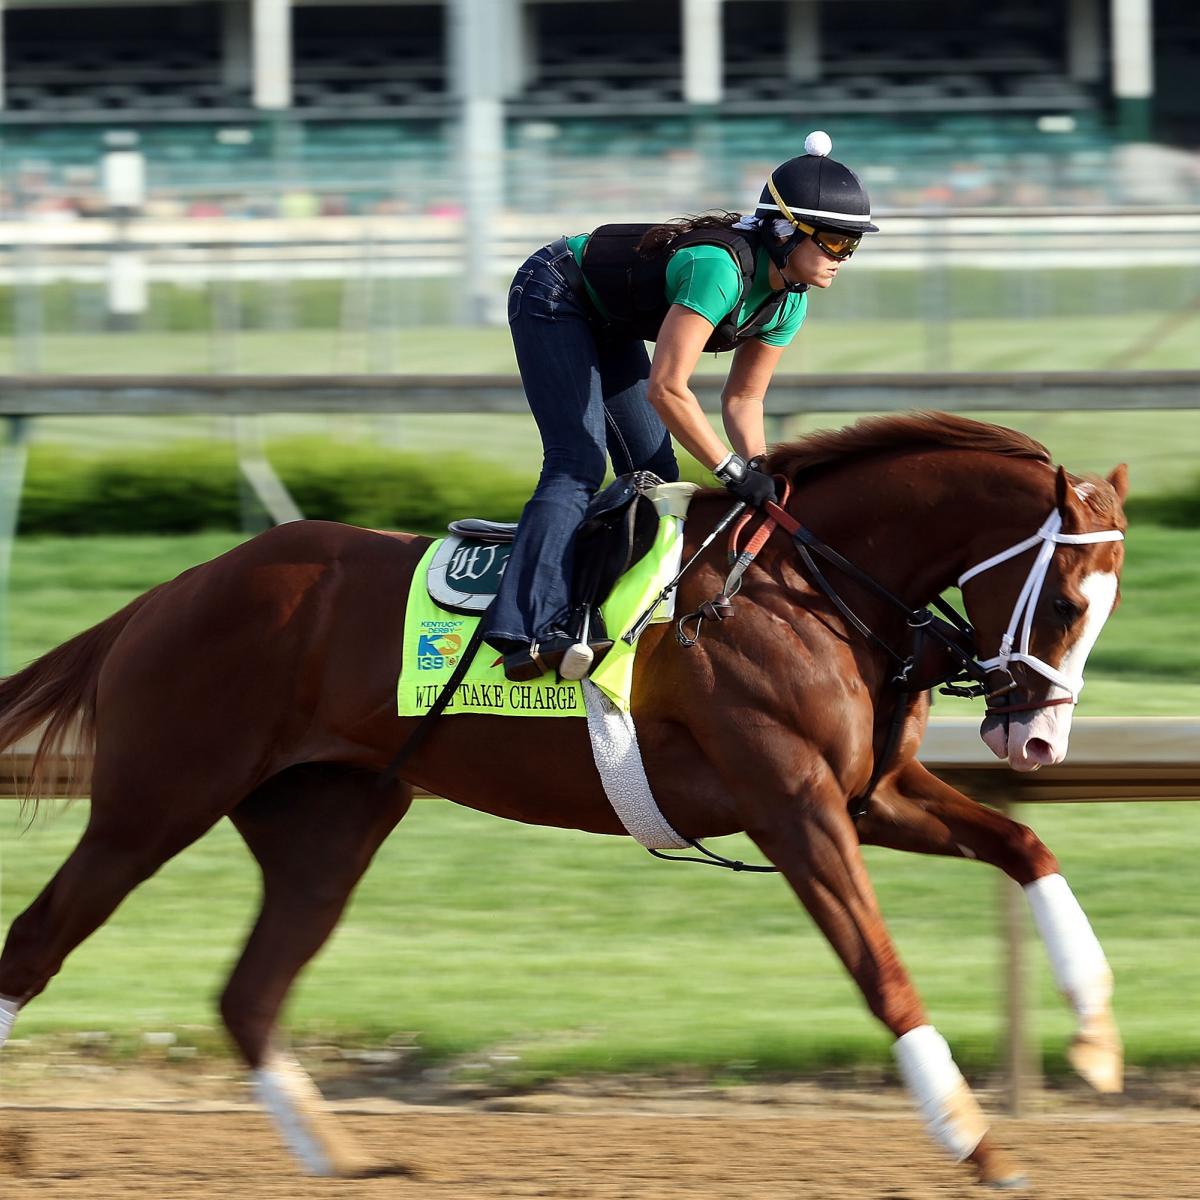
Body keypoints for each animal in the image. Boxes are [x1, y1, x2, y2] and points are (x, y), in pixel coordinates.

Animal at [0, 415, 1123, 1190]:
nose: (1035, 740)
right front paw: (975, 1140)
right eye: (1069, 601)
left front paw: (1096, 1036)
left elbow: (1025, 845)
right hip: (156, 801)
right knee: (37, 942)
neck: (805, 587)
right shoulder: (792, 804)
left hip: (331, 825)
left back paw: (340, 1161)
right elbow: (881, 970)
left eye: (1101, 609)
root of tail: (169, 593)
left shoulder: (870, 794)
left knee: (250, 993)